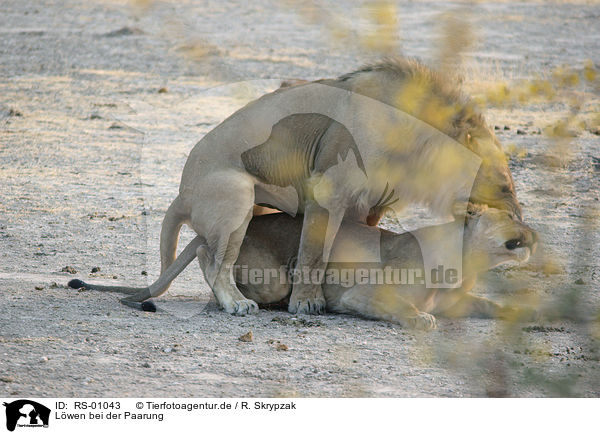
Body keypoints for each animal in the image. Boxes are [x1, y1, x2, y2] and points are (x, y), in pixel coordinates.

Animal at [69, 57, 524, 316]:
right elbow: (312, 251)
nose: (521, 225)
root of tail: (180, 193)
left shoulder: (369, 204)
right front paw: (308, 302)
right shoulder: (329, 187)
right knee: (213, 259)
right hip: (237, 195)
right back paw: (236, 304)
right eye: (504, 183)